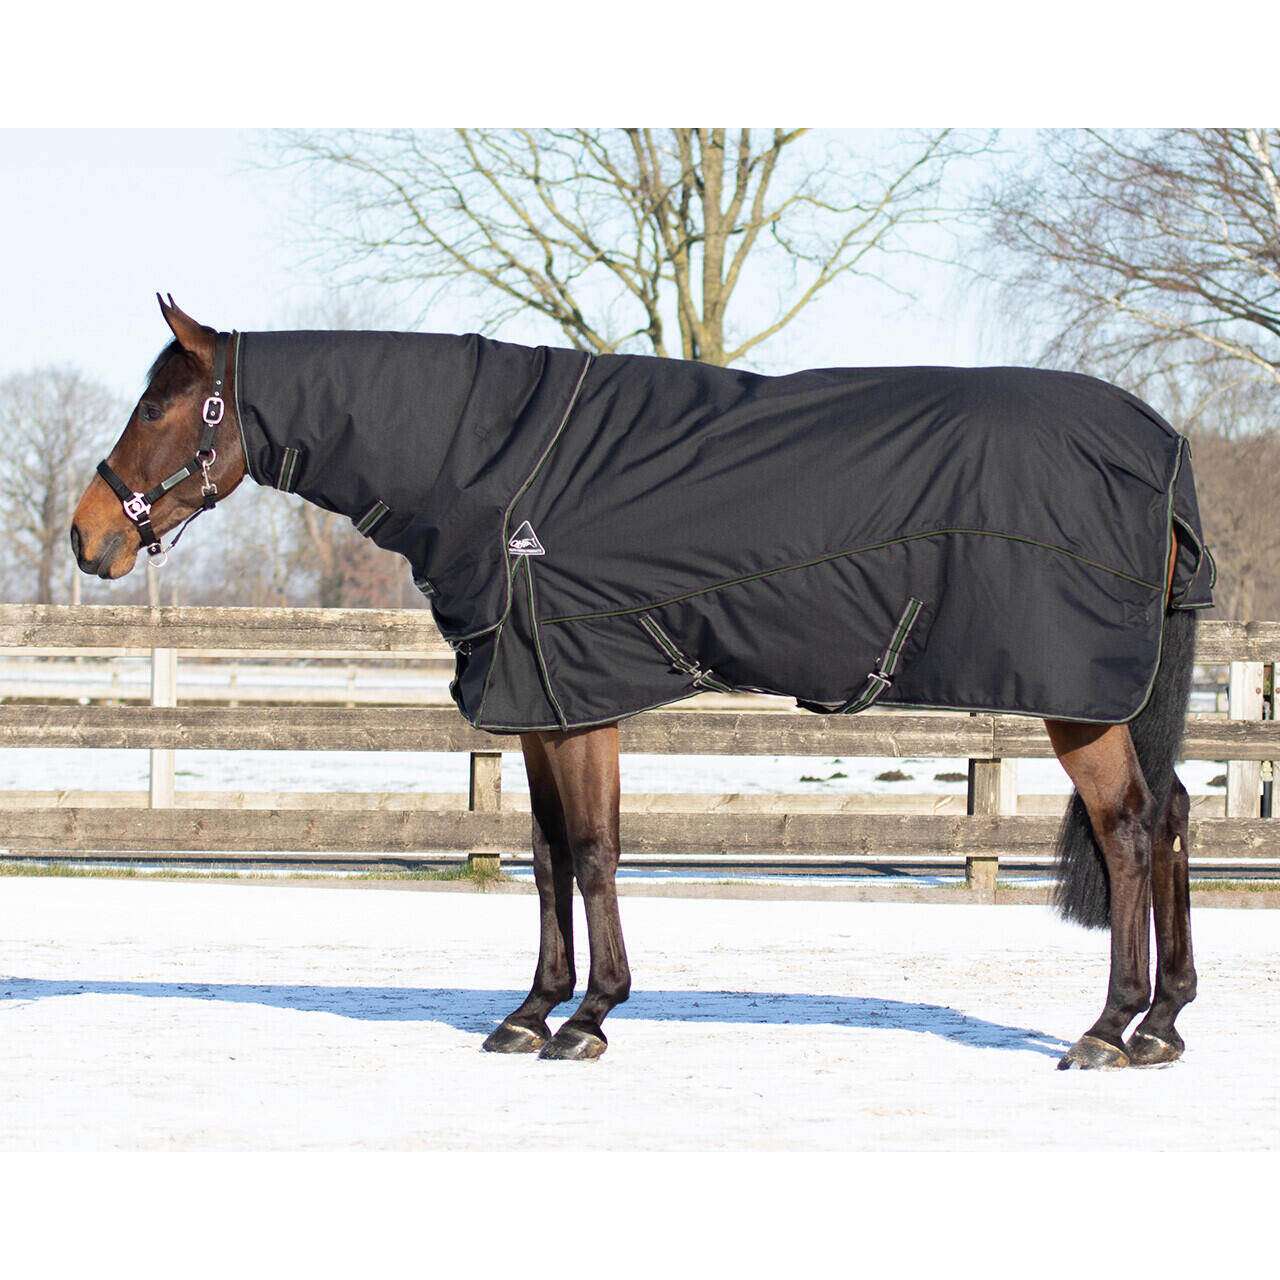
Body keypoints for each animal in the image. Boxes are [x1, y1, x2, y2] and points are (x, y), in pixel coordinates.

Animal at [71, 296, 1207, 1070]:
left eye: (160, 405)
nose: (86, 538)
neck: (493, 469)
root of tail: (1160, 440)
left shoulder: (578, 700)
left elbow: (592, 851)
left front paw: (589, 1017)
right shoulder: (540, 706)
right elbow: (542, 856)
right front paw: (531, 1010)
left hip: (1080, 705)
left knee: (1126, 827)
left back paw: (1107, 1028)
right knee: (1172, 814)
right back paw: (1162, 1021)